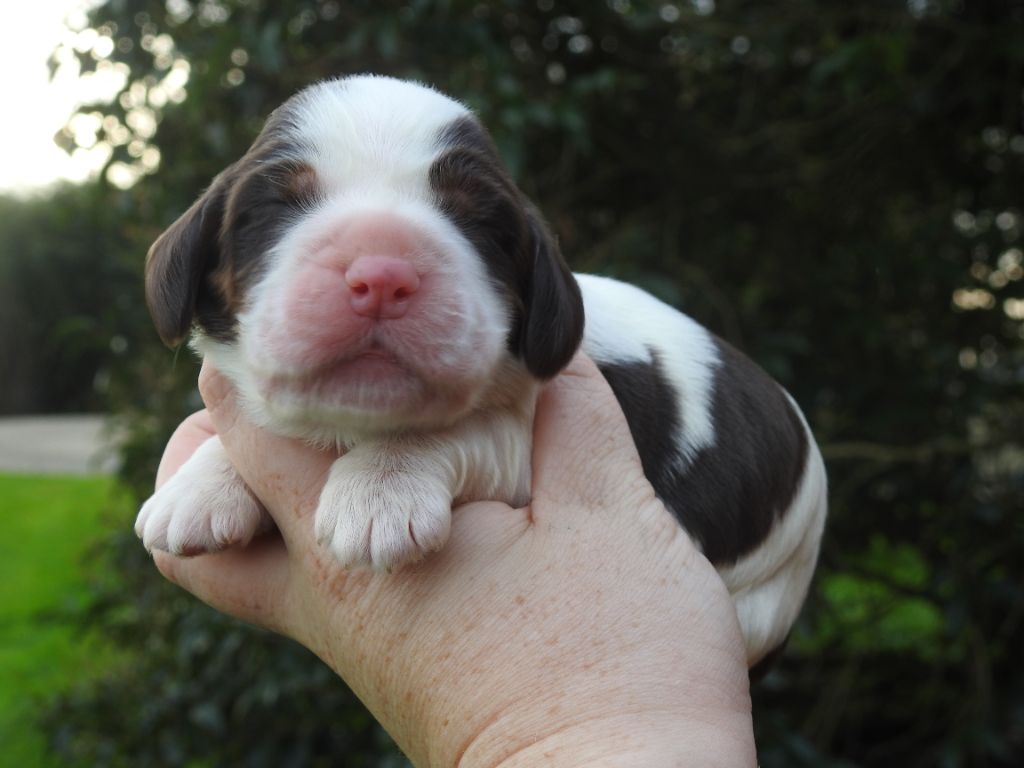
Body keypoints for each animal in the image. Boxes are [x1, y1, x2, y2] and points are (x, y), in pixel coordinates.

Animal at [136, 75, 827, 671]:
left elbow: (463, 429)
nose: (382, 275)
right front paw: (199, 488)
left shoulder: (524, 440)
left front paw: (380, 488)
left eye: (481, 223)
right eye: (277, 206)